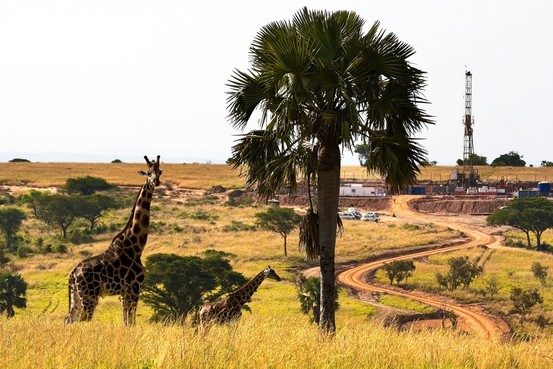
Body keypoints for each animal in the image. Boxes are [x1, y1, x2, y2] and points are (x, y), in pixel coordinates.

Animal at [65, 154, 163, 324]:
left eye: (159, 172)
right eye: (148, 172)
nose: (155, 182)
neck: (136, 246)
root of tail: (73, 274)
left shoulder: (125, 291)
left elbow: (126, 320)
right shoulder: (134, 286)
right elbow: (131, 320)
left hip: (76, 297)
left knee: (70, 319)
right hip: (90, 296)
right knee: (83, 319)